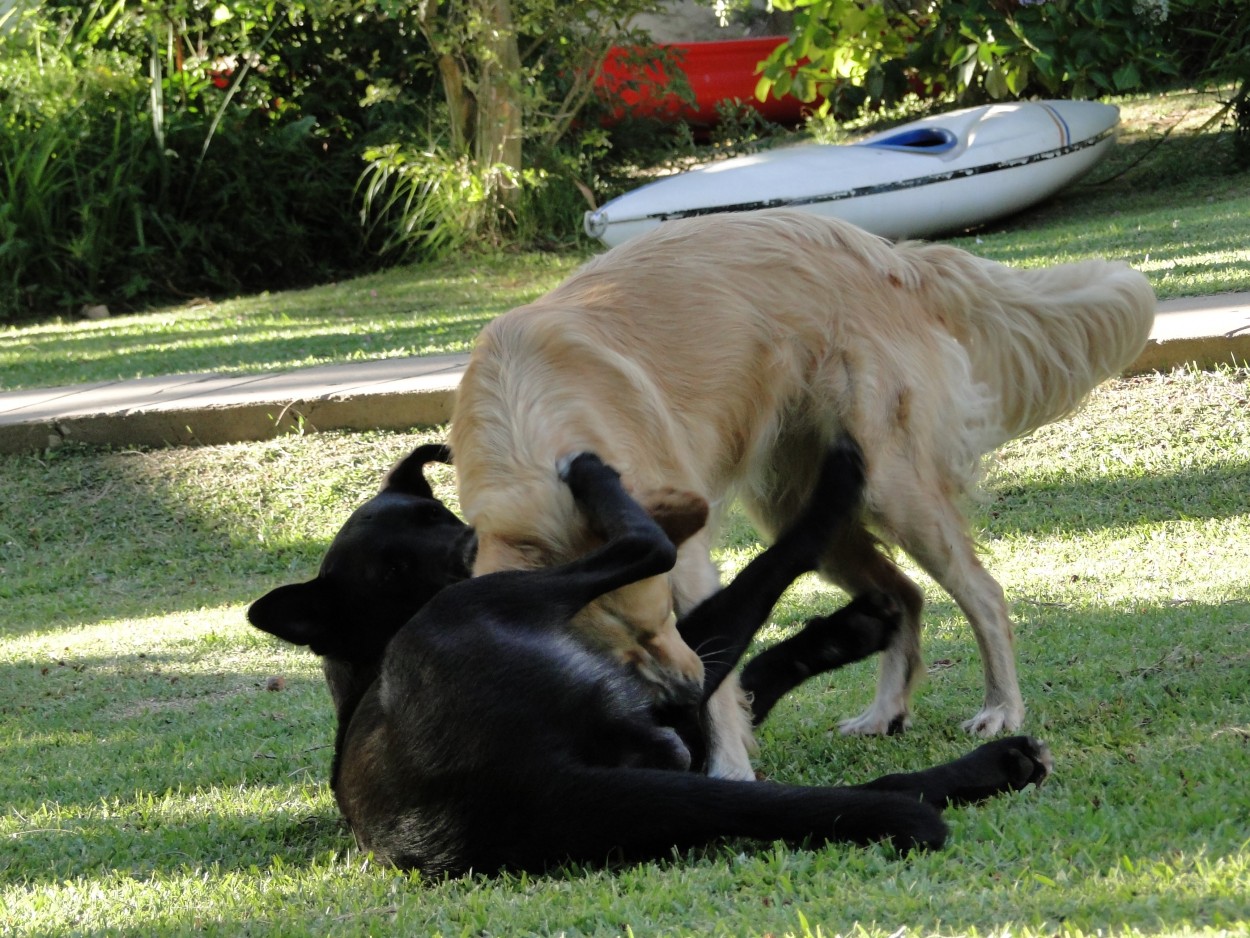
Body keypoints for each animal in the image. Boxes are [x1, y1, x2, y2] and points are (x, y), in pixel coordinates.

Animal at [248, 440, 1050, 875]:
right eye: (392, 569)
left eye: (435, 515)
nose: (472, 544)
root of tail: (535, 781)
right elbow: (761, 578)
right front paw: (835, 506)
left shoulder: (674, 700)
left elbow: (747, 670)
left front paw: (855, 627)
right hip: (506, 610)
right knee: (650, 545)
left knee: (876, 790)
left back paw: (1001, 763)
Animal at [447, 208, 1150, 780]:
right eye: (613, 654)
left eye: (666, 619)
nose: (684, 690)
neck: (531, 431)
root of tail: (891, 257)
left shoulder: (689, 564)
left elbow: (723, 671)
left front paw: (729, 764)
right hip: (805, 507)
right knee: (903, 593)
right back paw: (885, 711)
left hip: (893, 488)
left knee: (984, 594)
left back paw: (1002, 708)